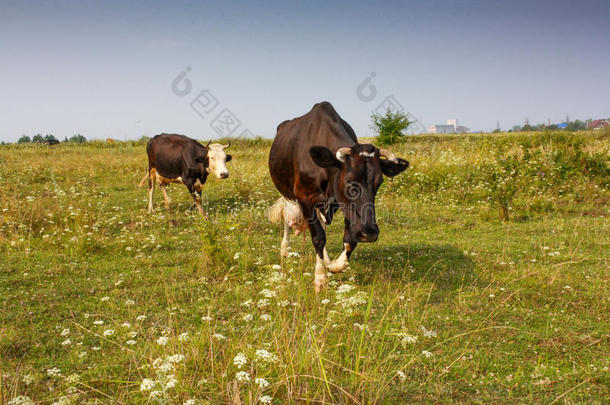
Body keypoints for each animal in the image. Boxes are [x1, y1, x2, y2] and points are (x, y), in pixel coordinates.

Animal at [268, 101, 406, 290]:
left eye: (379, 183)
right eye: (349, 181)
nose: (370, 233)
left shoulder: (346, 206)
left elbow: (350, 238)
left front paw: (334, 265)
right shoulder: (304, 197)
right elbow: (318, 237)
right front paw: (320, 278)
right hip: (286, 191)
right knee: (286, 216)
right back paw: (285, 249)